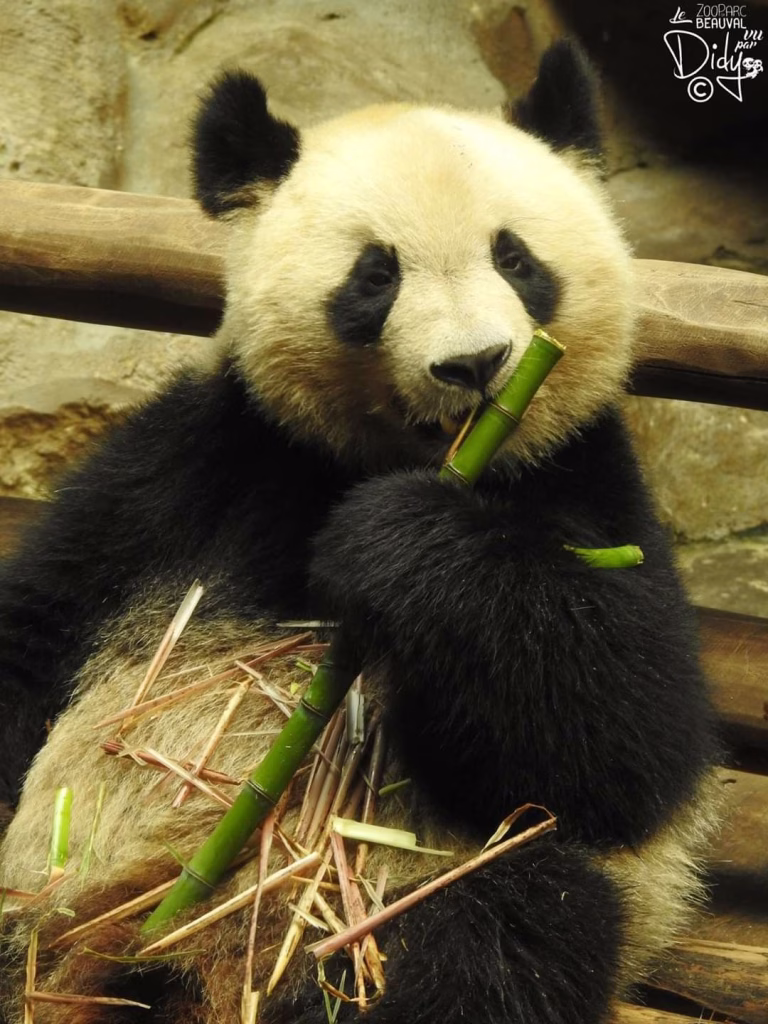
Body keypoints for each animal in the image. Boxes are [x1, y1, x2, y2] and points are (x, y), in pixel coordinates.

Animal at [0, 40, 720, 1024]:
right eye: (377, 275)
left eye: (516, 258)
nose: (476, 365)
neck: (397, 460)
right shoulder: (200, 458)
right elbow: (39, 625)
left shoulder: (583, 478)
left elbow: (633, 747)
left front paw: (399, 542)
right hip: (46, 908)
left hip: (423, 902)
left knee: (507, 925)